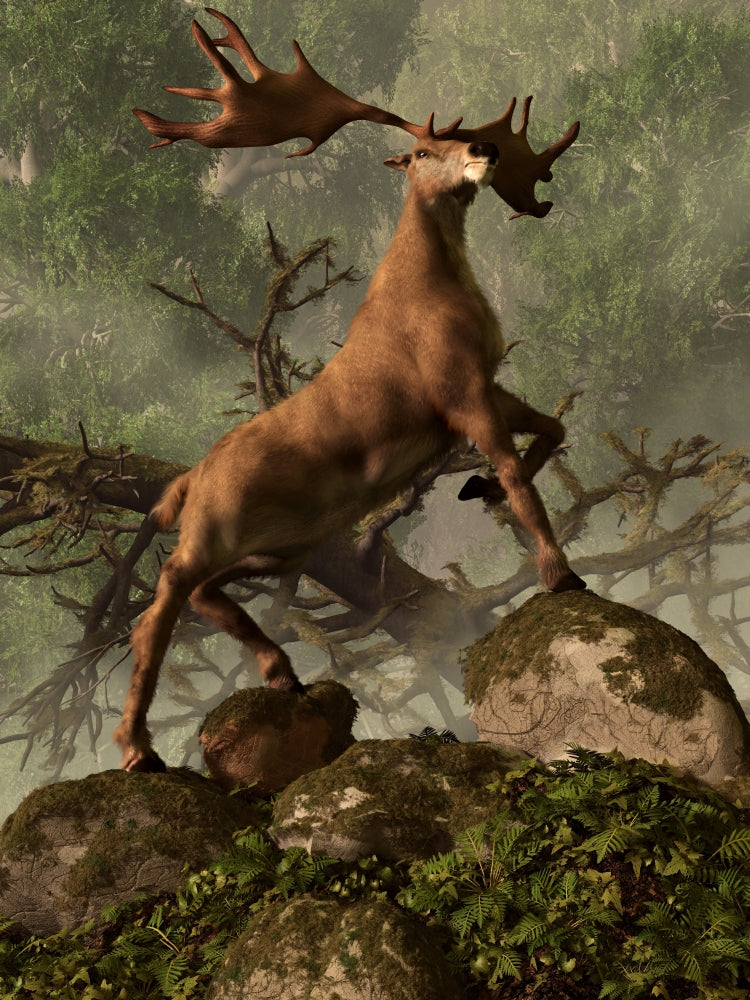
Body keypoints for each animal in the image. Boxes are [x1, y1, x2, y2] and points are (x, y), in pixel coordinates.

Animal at [113, 8, 585, 771]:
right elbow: (520, 472)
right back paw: (138, 749)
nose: (483, 147)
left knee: (206, 596)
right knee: (158, 605)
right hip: (215, 526)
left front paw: (477, 488)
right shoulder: (457, 389)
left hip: (282, 541)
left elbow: (553, 430)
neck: (432, 289)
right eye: (421, 151)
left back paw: (280, 671)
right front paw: (558, 572)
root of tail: (189, 480)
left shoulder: (482, 385)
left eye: (460, 137)